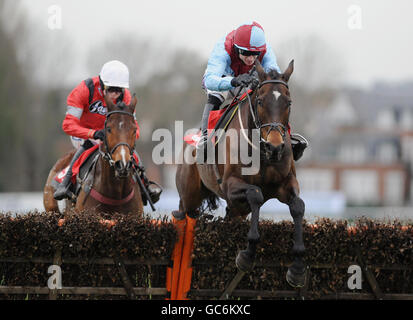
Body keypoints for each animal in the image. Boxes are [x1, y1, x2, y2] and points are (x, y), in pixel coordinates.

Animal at [174, 59, 306, 288]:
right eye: (260, 101)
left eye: (288, 103)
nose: (275, 147)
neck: (263, 152)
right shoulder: (230, 184)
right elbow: (256, 194)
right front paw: (247, 255)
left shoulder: (286, 183)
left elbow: (298, 206)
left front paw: (297, 268)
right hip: (190, 197)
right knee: (184, 213)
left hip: (237, 208)